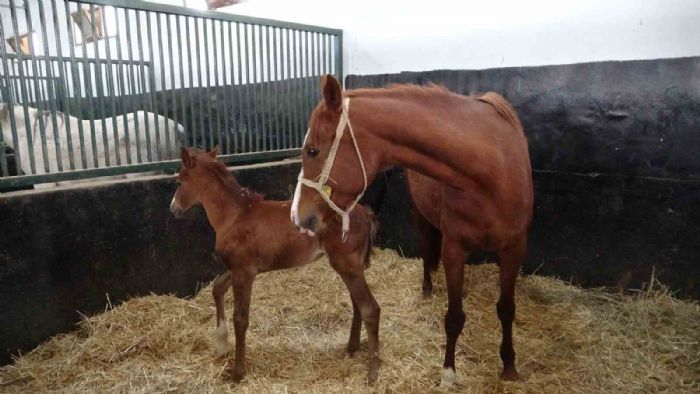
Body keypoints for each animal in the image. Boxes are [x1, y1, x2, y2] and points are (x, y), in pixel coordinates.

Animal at [170, 147, 380, 382]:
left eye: (178, 182)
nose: (173, 208)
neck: (235, 215)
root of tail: (364, 213)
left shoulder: (244, 273)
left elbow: (240, 319)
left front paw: (237, 372)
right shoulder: (240, 269)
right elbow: (217, 287)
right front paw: (221, 345)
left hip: (347, 265)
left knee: (370, 309)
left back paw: (373, 371)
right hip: (351, 268)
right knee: (358, 305)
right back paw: (351, 348)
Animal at [292, 75, 532, 386]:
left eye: (312, 150)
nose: (296, 215)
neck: (491, 169)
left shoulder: (514, 249)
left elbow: (506, 308)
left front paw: (509, 366)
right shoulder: (454, 249)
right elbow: (454, 316)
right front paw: (449, 372)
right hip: (421, 218)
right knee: (427, 250)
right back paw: (427, 290)